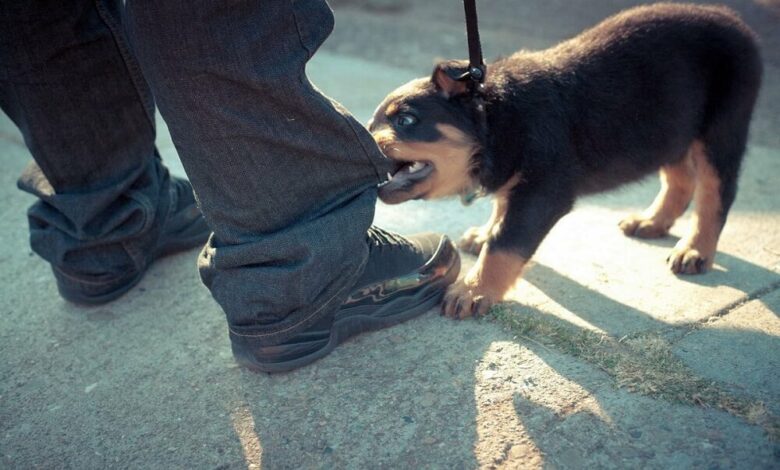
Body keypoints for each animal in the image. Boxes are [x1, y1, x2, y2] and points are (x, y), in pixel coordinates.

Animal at [370, 3, 760, 318]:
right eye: (372, 125)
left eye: (406, 120)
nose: (364, 144)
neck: (498, 118)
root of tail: (734, 20)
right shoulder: (518, 178)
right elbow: (501, 211)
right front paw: (484, 234)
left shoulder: (544, 191)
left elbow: (506, 242)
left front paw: (474, 289)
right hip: (669, 130)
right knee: (680, 179)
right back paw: (651, 221)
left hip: (721, 130)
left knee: (716, 194)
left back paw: (695, 251)